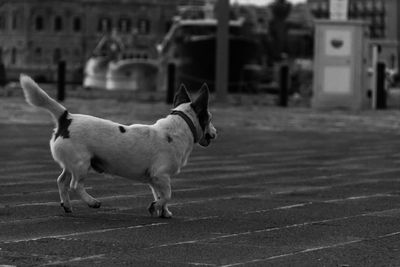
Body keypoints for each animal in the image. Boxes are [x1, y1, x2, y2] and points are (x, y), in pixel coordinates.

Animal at [20, 74, 217, 219]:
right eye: (210, 118)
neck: (177, 129)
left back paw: (67, 206)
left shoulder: (155, 180)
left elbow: (161, 196)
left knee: (62, 181)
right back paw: (92, 202)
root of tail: (66, 118)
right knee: (75, 185)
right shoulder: (161, 176)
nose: (215, 133)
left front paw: (164, 212)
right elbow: (167, 195)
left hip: (72, 164)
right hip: (82, 164)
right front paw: (155, 207)